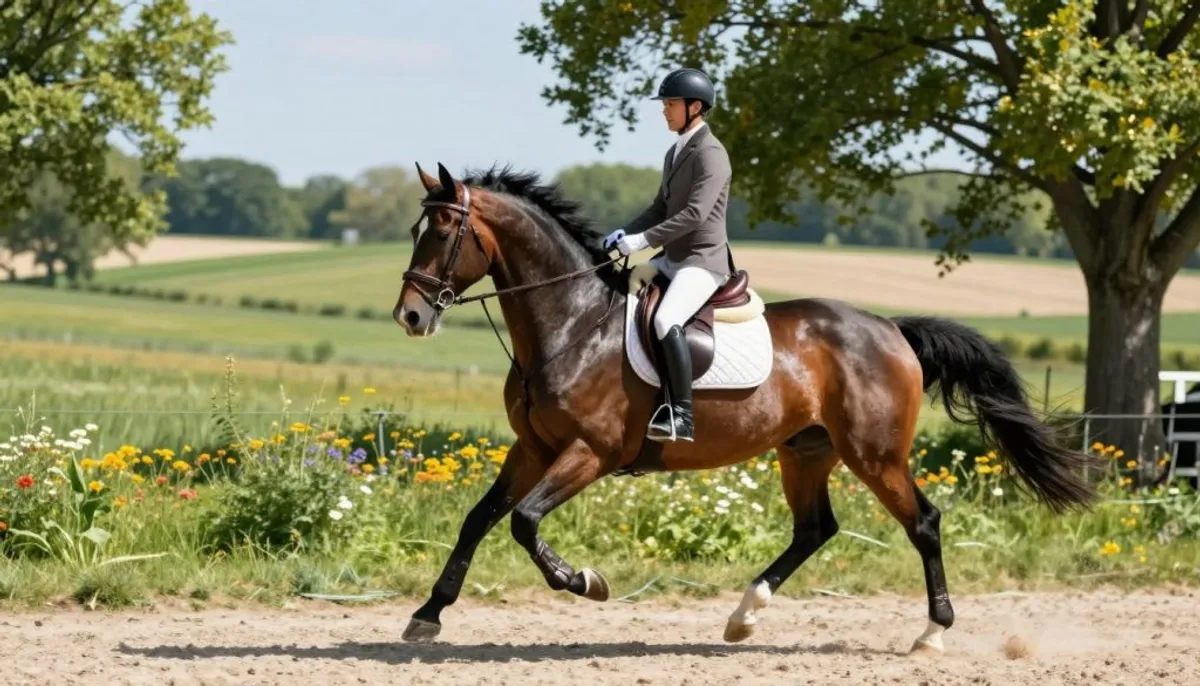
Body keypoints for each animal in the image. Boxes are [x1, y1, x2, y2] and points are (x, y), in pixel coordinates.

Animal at [391, 162, 1097, 653]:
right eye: (415, 230)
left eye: (445, 232)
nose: (411, 316)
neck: (572, 324)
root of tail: (891, 329)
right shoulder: (533, 446)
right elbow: (480, 519)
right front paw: (427, 615)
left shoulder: (589, 452)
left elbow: (524, 522)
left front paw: (586, 582)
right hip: (806, 451)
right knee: (815, 529)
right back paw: (743, 616)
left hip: (874, 454)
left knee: (922, 522)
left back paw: (931, 633)